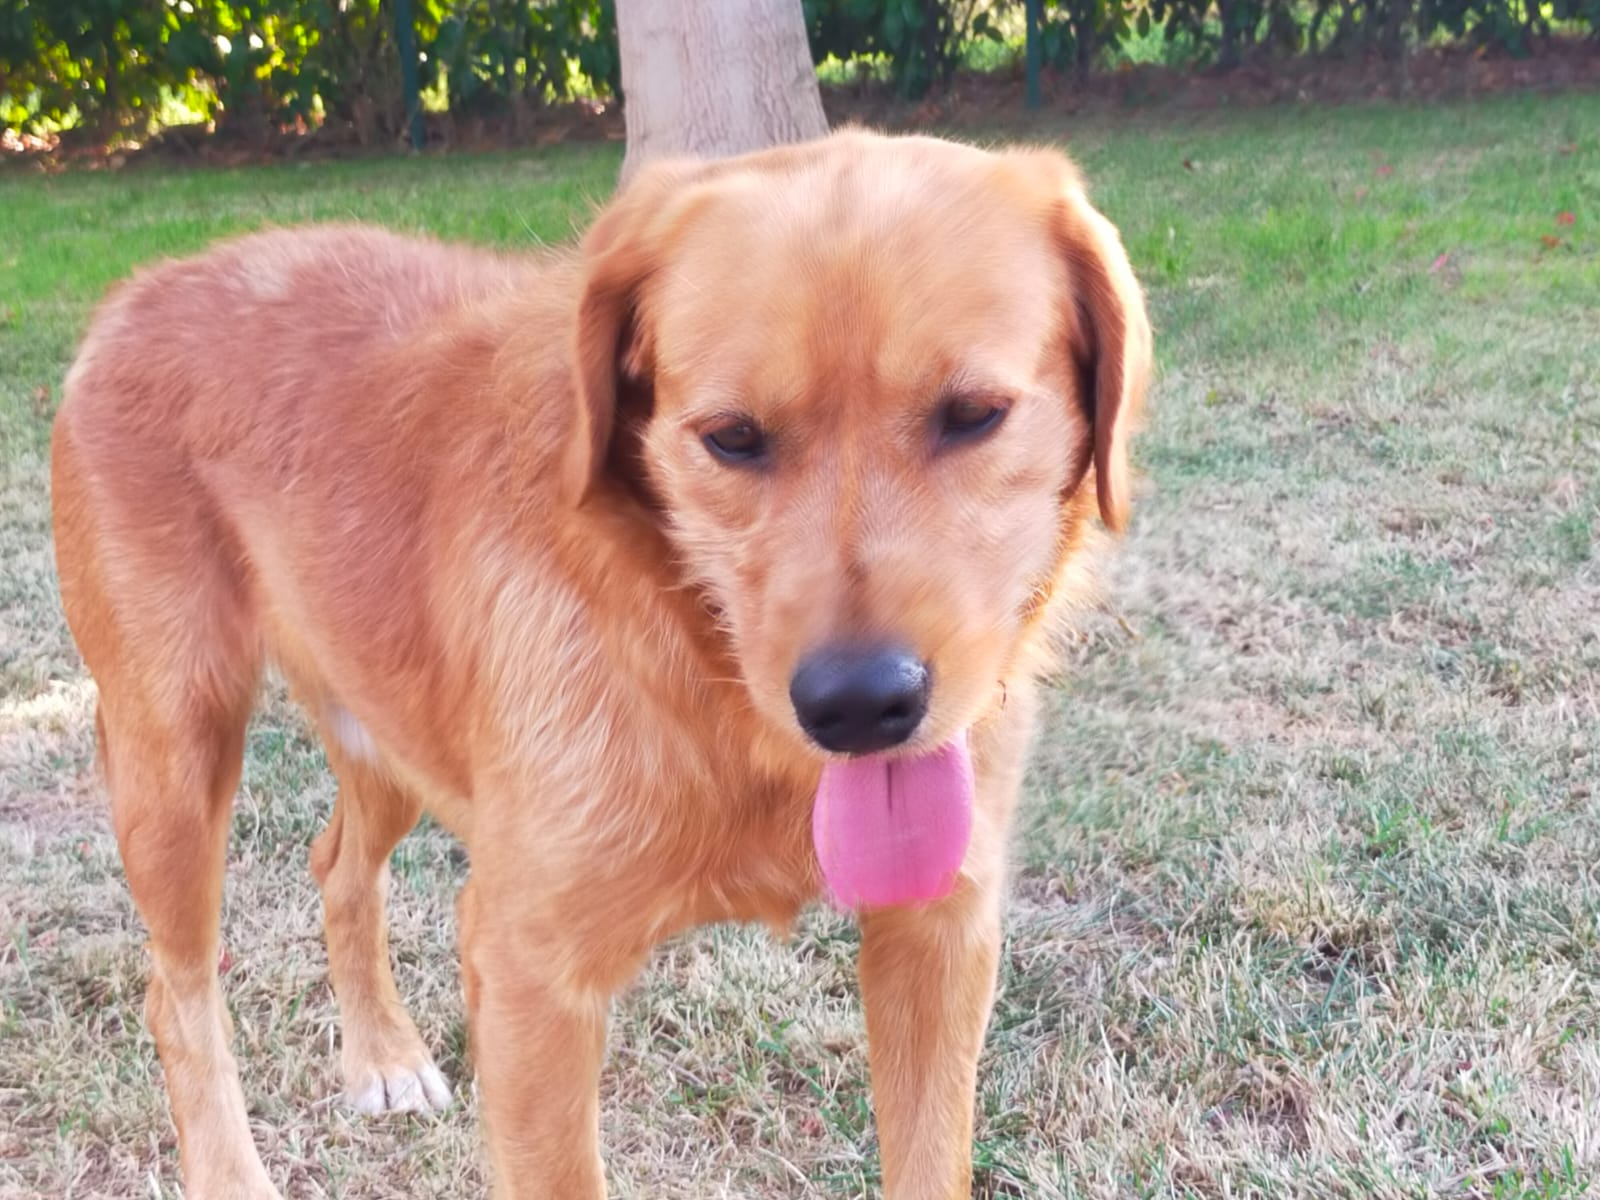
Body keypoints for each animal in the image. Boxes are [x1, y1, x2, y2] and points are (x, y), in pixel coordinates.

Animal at [50, 129, 1150, 1198]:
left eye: (975, 414)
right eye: (730, 438)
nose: (856, 707)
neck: (707, 678)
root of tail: (142, 288)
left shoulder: (938, 937)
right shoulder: (532, 975)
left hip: (386, 732)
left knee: (338, 867)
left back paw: (381, 1055)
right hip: (175, 760)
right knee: (176, 993)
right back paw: (230, 1169)